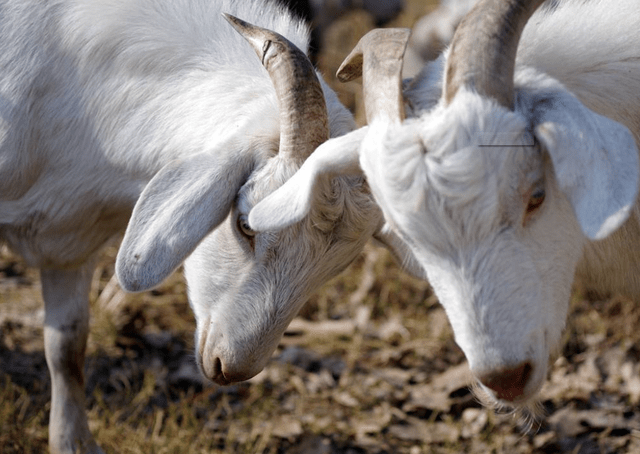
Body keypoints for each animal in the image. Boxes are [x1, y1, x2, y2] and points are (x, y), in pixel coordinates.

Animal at [0, 1, 384, 452]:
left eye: (333, 269)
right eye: (244, 225)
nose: (230, 368)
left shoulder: (71, 241)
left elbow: (67, 346)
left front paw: (72, 442)